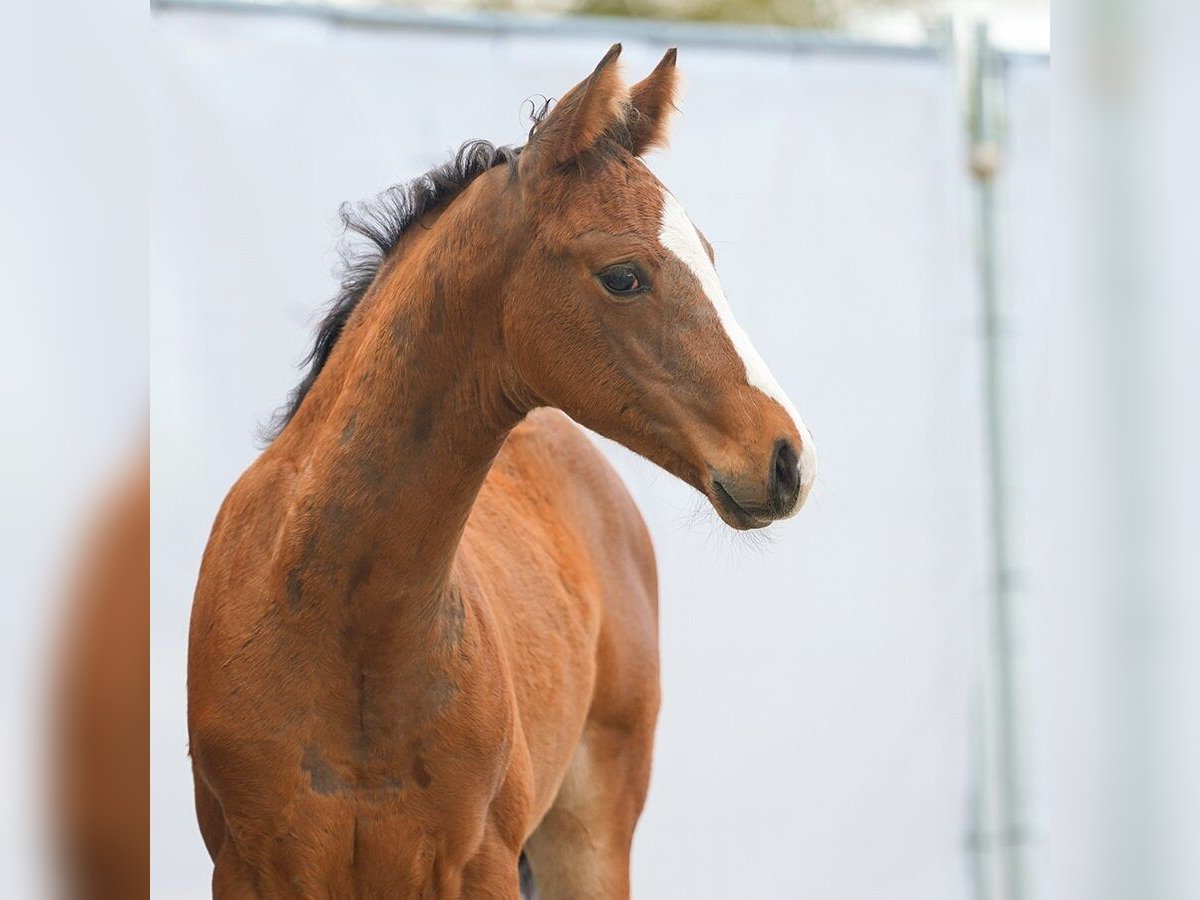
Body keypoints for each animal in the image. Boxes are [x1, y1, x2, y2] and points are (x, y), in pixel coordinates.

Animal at [187, 45, 820, 897]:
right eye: (623, 275)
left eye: (711, 259)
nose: (787, 456)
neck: (350, 630)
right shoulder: (251, 869)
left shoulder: (479, 863)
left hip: (589, 839)